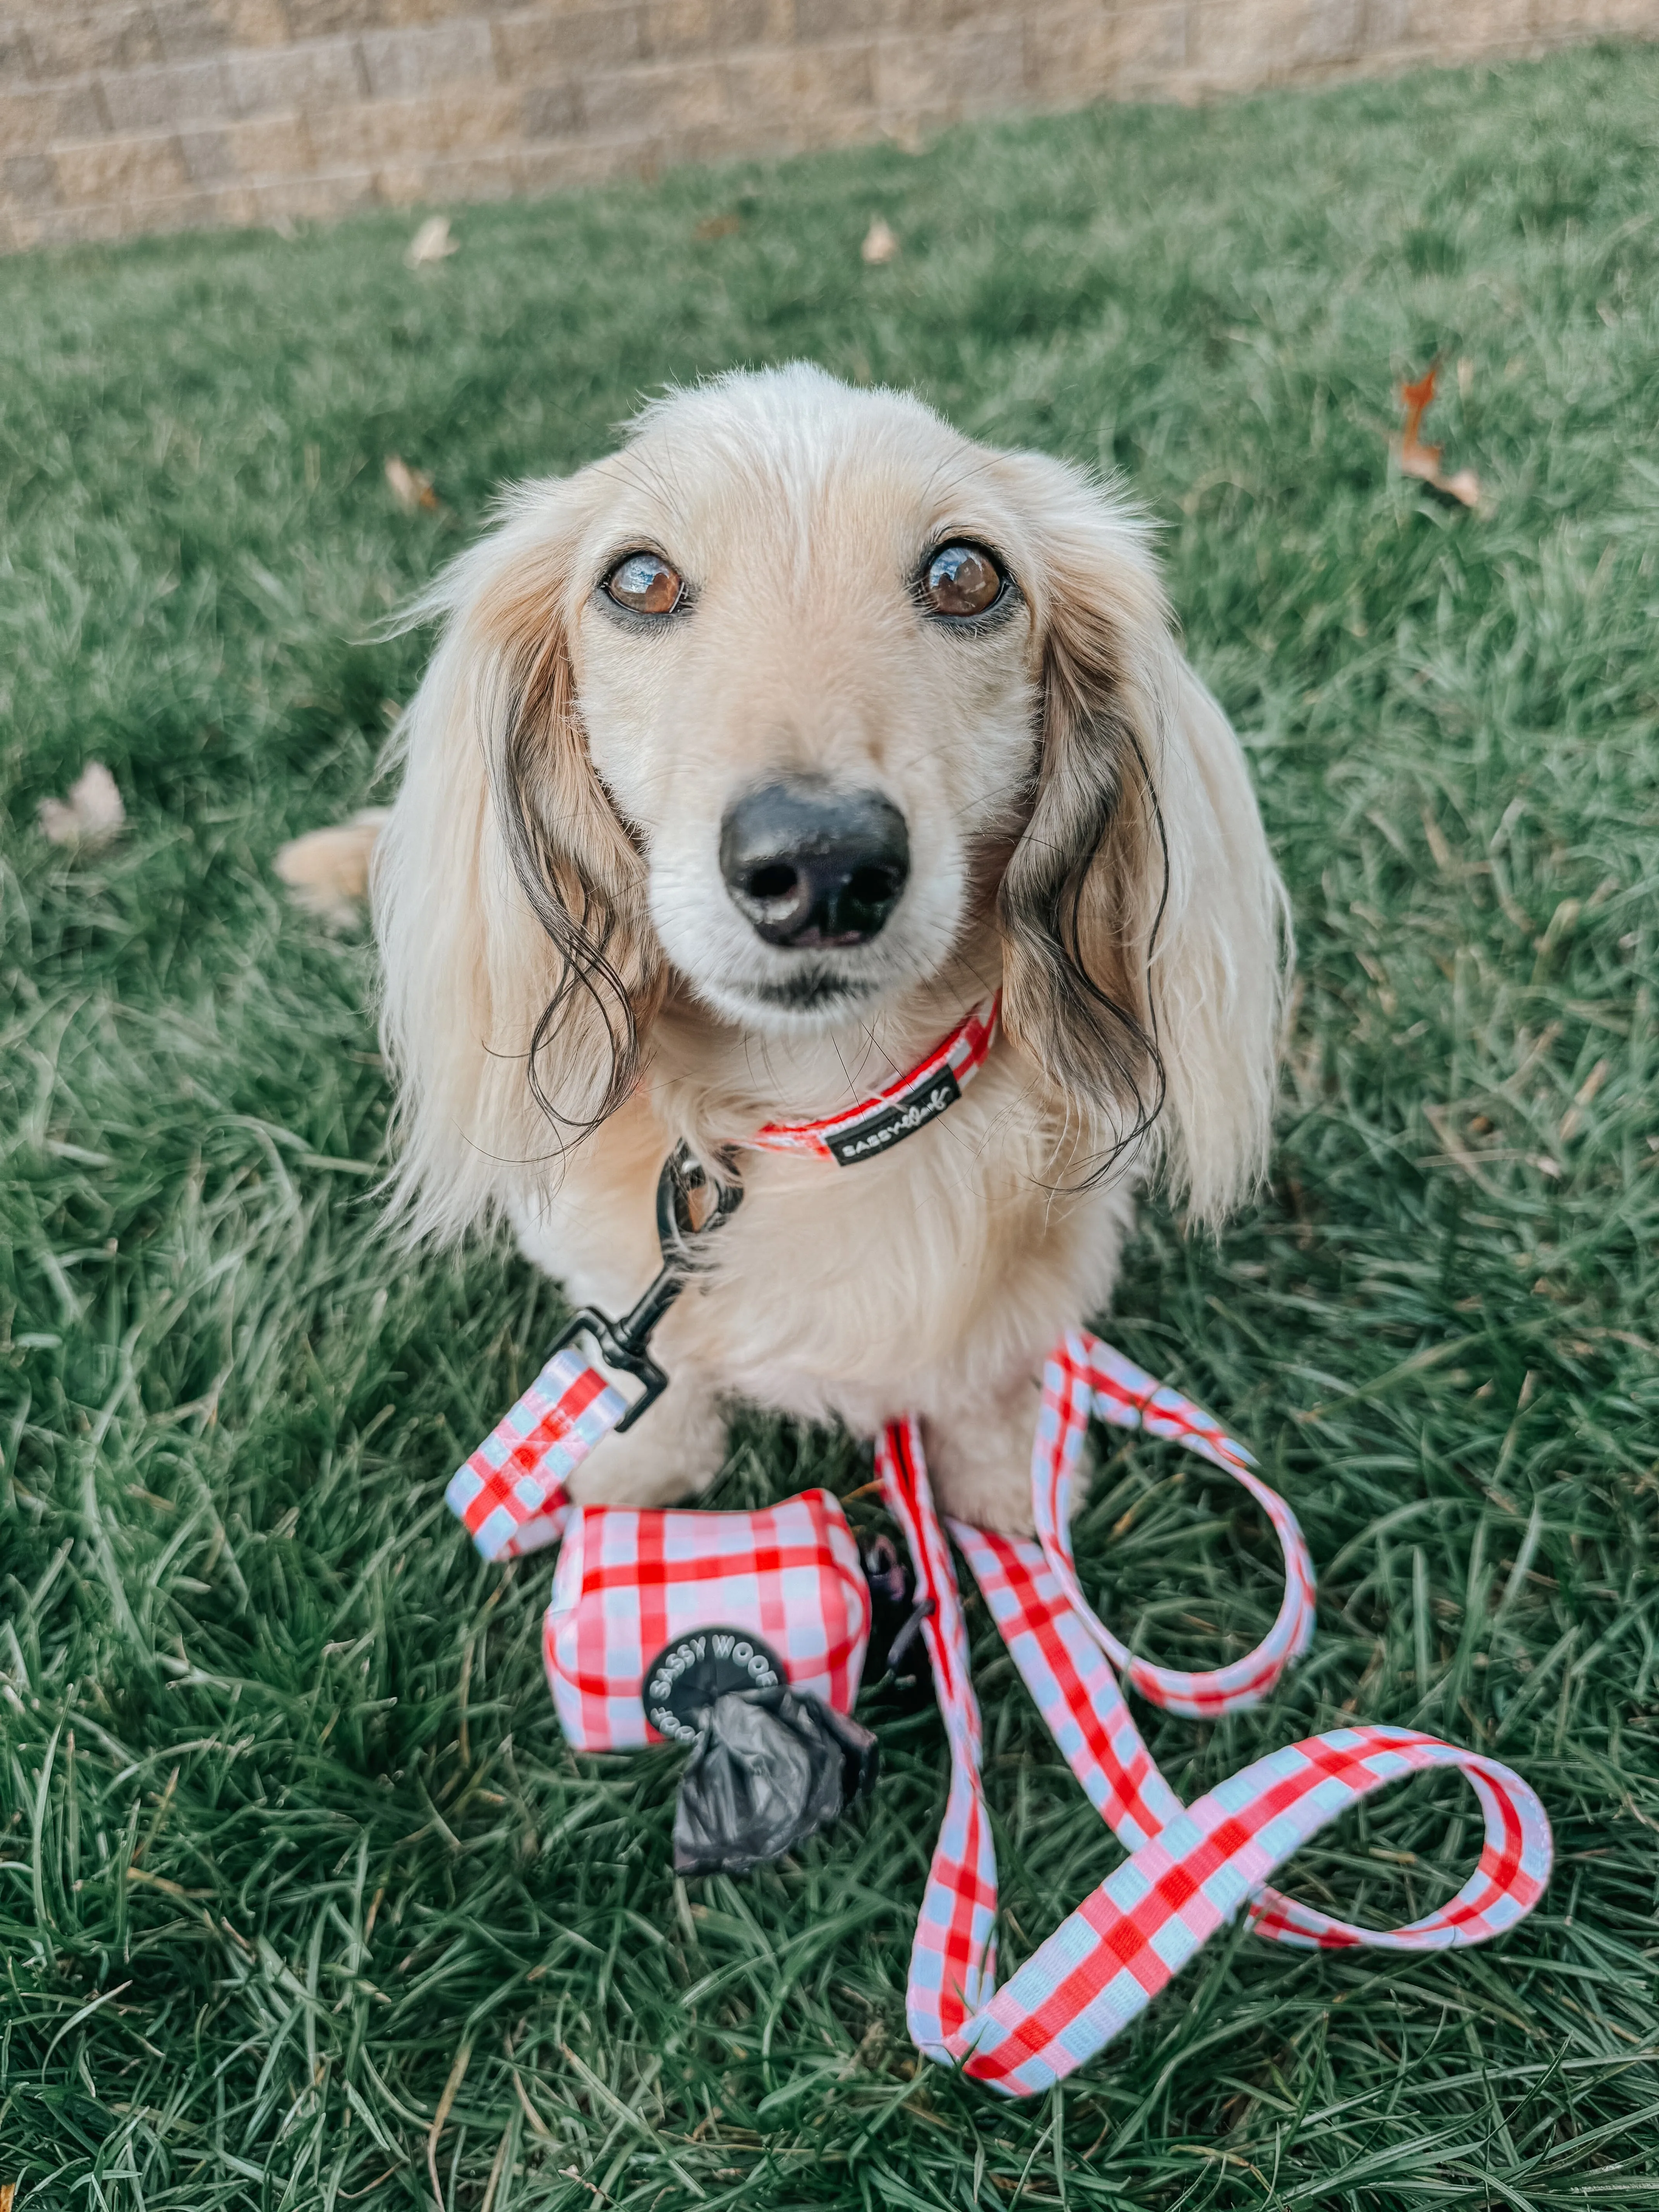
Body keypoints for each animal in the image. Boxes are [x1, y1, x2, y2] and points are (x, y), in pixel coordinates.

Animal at [369, 367, 1291, 1539]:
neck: (818, 1110)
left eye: (963, 574)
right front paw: (636, 1469)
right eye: (639, 580)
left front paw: (1007, 1488)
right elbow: (662, 1368)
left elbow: (984, 1382)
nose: (819, 865)